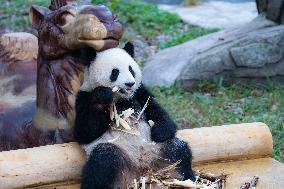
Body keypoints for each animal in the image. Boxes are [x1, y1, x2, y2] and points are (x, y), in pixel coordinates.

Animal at [74, 42, 195, 189]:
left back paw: (188, 177)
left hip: (159, 150)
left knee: (179, 150)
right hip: (120, 157)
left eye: (131, 69)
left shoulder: (140, 93)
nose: (130, 83)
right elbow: (84, 132)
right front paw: (102, 96)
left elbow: (158, 113)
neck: (121, 99)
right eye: (115, 72)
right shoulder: (84, 96)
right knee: (103, 161)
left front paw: (159, 132)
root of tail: (142, 172)